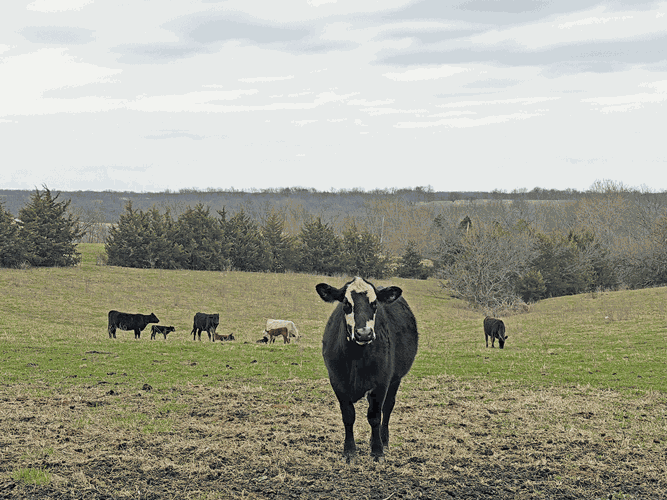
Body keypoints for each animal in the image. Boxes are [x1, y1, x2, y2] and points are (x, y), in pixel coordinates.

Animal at [316, 277, 419, 463]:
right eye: (346, 304)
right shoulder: (337, 381)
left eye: (375, 303)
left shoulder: (381, 382)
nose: (364, 333)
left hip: (395, 379)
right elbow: (348, 416)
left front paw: (377, 451)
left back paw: (383, 440)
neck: (357, 356)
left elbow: (375, 416)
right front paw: (349, 451)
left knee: (387, 407)